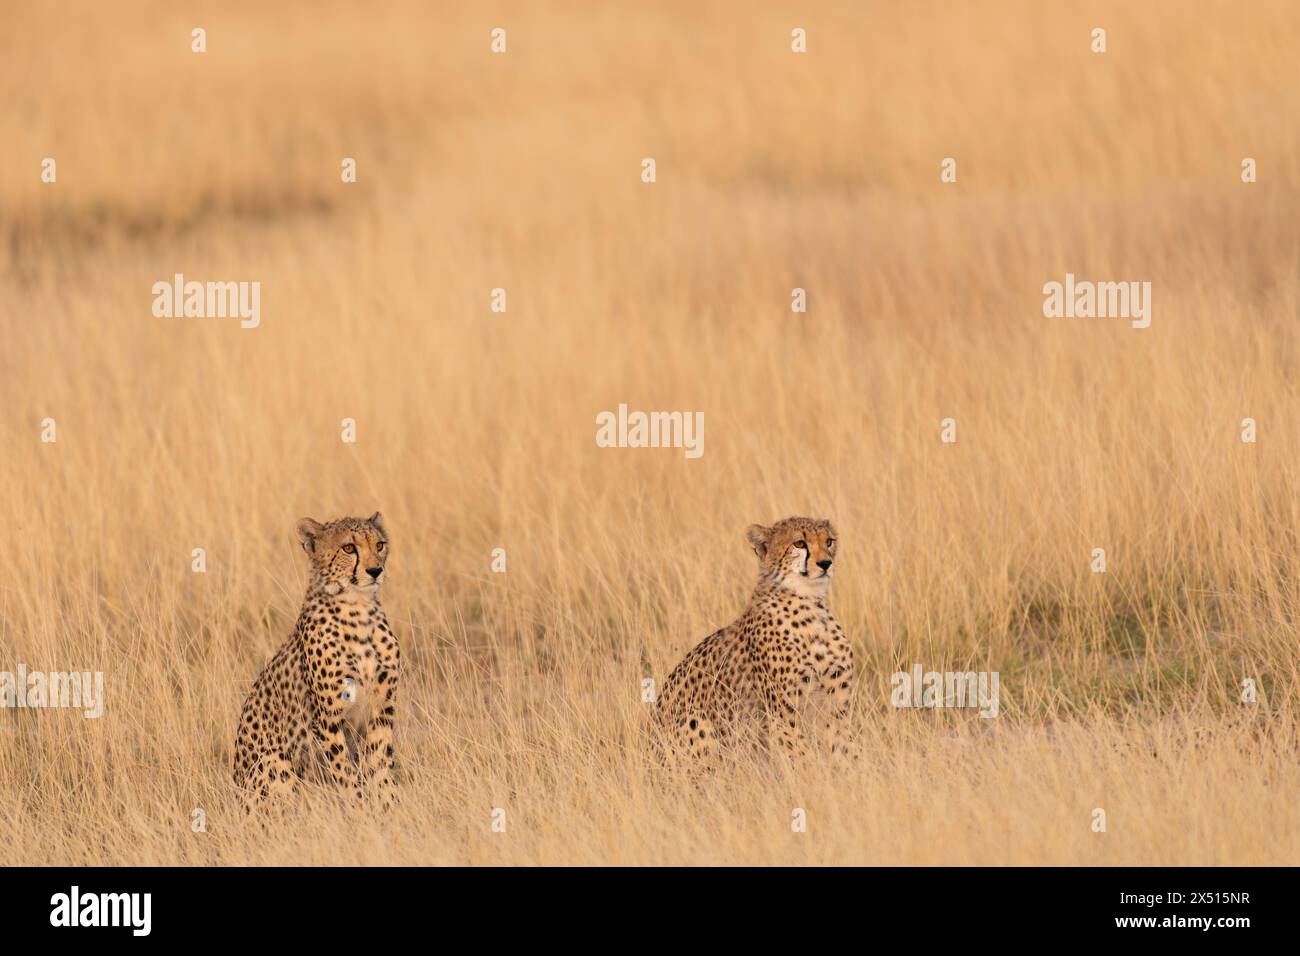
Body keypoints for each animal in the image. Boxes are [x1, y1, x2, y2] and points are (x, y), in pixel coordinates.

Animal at [231, 512, 397, 811]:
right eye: (348, 548)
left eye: (379, 545)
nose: (375, 571)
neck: (359, 610)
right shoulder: (328, 718)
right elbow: (344, 770)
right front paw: (359, 810)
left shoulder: (382, 707)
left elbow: (381, 764)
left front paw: (390, 808)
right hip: (273, 762)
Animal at [660, 515, 852, 764]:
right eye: (799, 543)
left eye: (829, 541)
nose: (826, 563)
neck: (810, 605)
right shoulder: (782, 715)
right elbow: (800, 757)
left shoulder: (838, 704)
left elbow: (845, 750)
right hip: (696, 720)